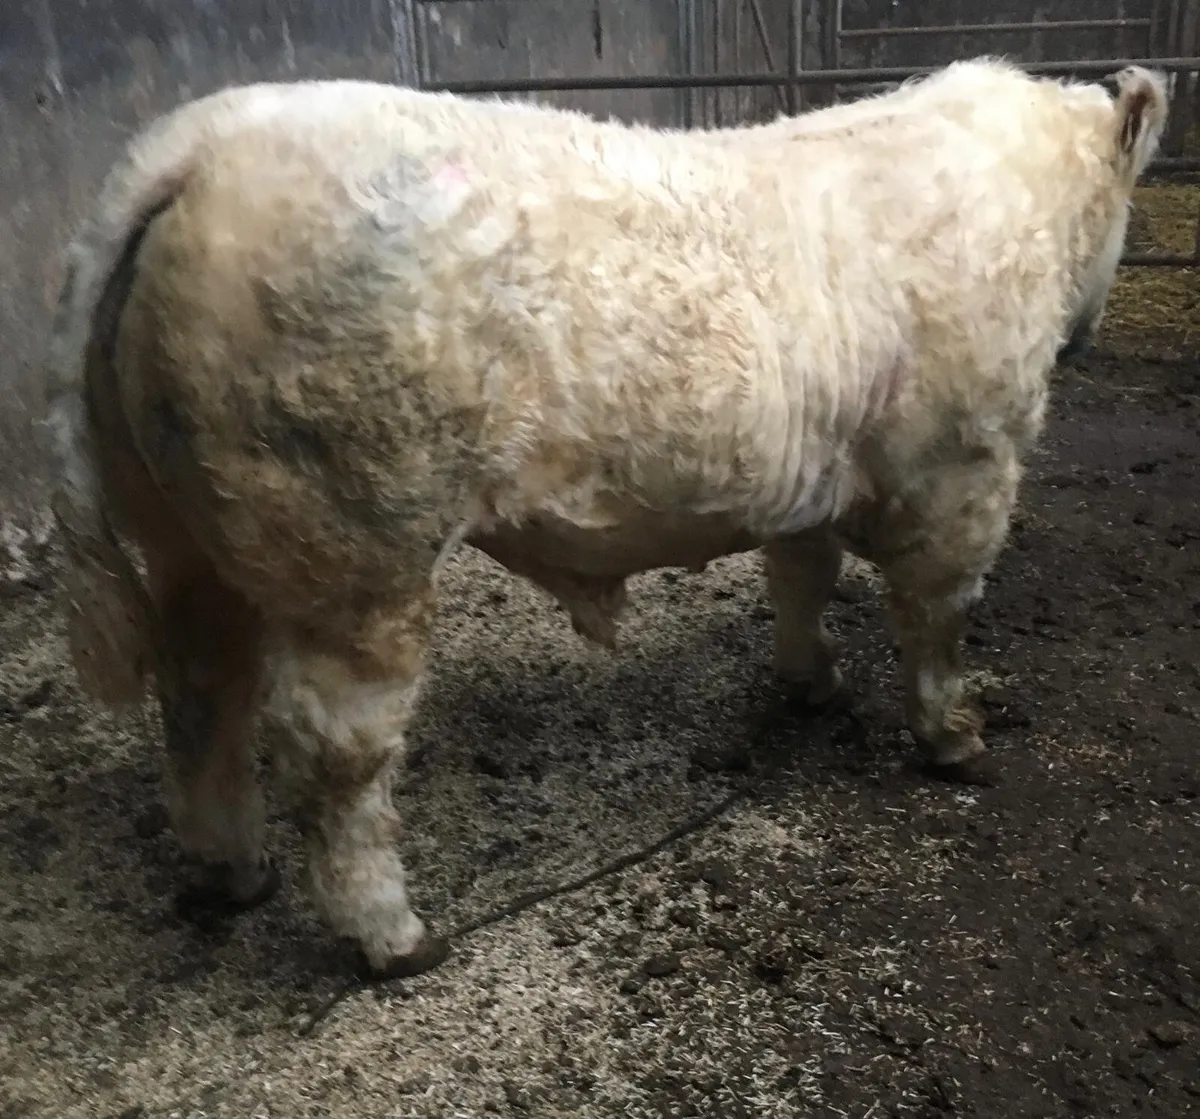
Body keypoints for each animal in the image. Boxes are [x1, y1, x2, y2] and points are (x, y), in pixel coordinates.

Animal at [42, 59, 1167, 978]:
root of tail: (196, 141)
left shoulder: (811, 471)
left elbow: (799, 576)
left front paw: (809, 684)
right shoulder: (966, 464)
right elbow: (938, 614)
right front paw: (957, 740)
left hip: (185, 532)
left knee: (200, 689)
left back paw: (231, 874)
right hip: (356, 546)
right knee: (334, 746)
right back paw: (395, 937)